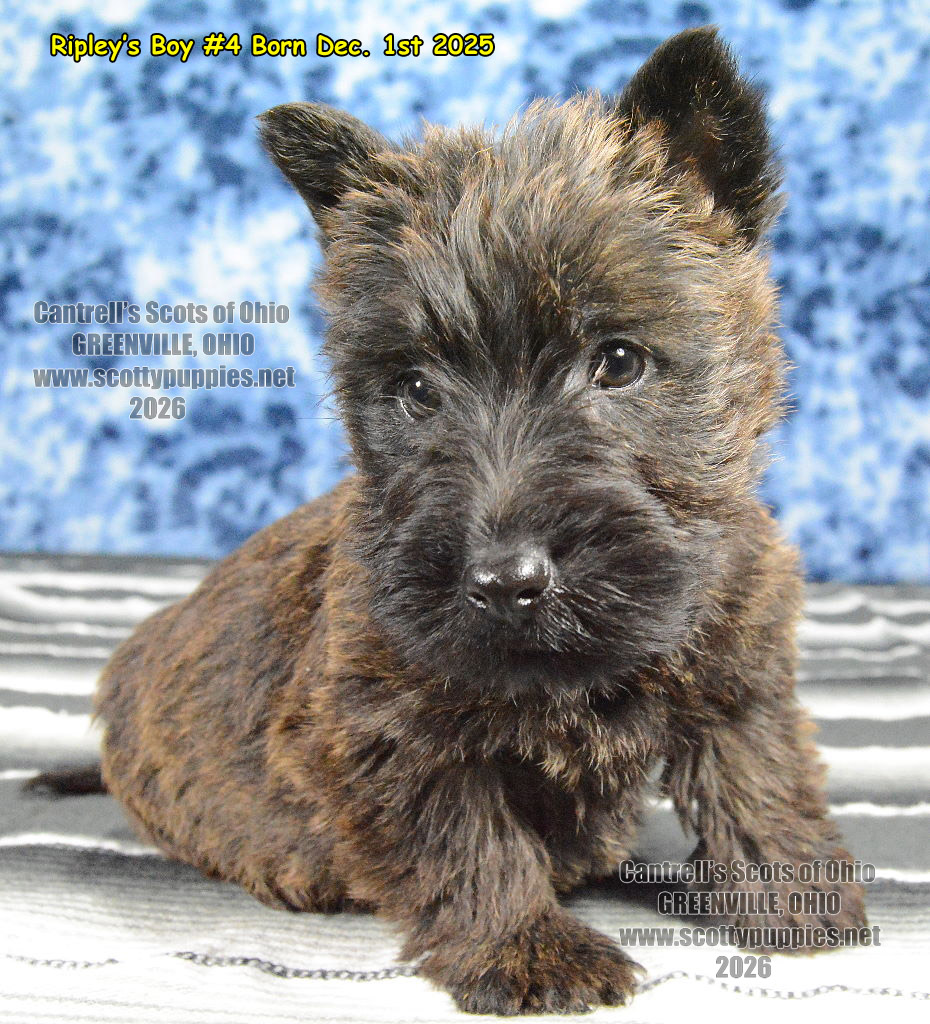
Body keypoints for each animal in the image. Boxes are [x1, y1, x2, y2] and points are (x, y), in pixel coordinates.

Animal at [75, 27, 867, 1015]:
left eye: (618, 361)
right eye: (416, 388)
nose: (505, 582)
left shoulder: (739, 664)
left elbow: (760, 777)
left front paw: (800, 899)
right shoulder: (380, 731)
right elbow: (467, 840)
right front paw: (530, 953)